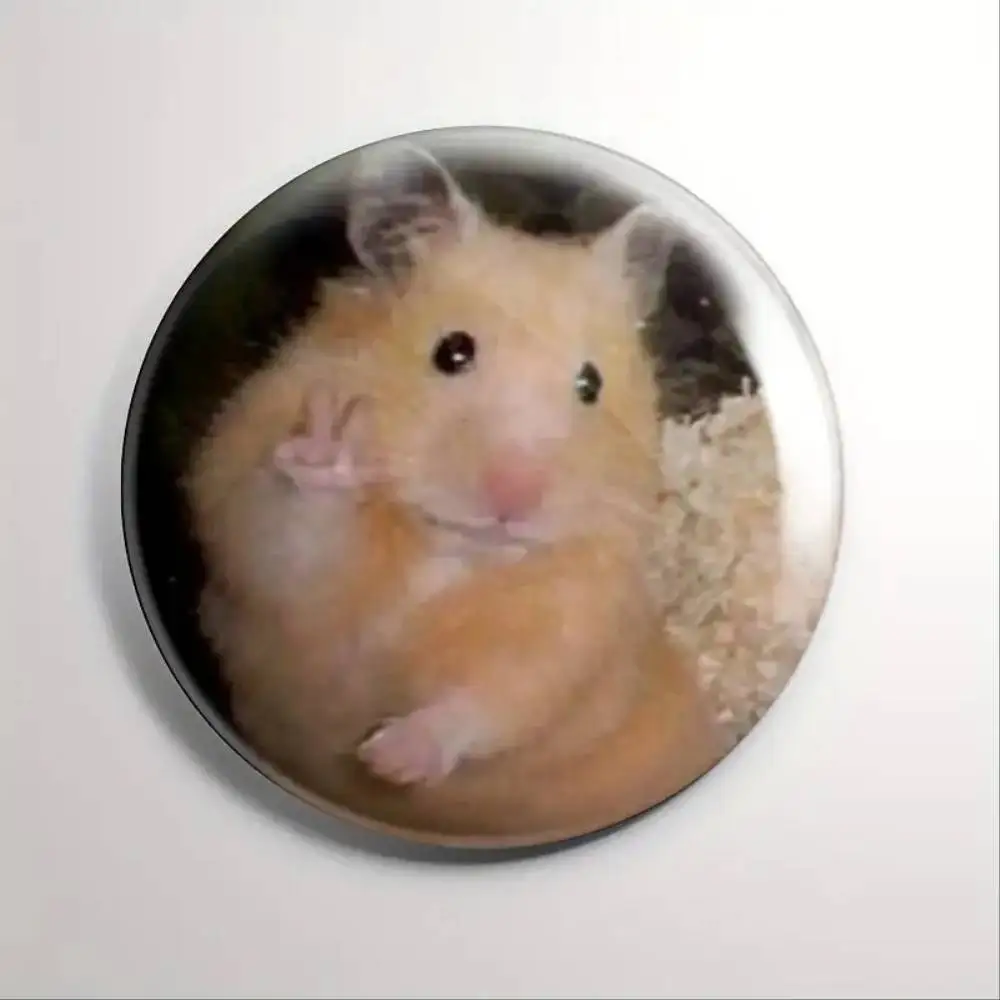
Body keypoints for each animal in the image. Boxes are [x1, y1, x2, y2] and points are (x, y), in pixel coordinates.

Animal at [183, 141, 725, 844]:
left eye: (591, 384)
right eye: (452, 352)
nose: (513, 500)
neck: (450, 553)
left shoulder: (572, 625)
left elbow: (497, 696)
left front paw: (387, 759)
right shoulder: (256, 546)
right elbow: (292, 539)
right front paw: (333, 446)